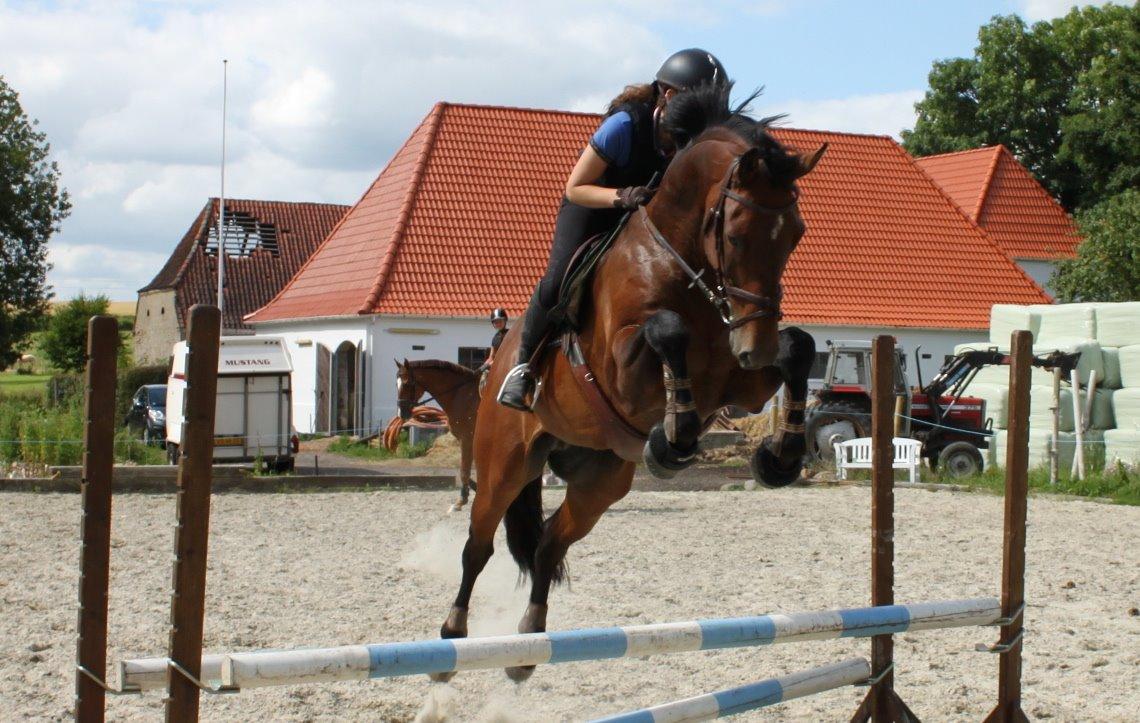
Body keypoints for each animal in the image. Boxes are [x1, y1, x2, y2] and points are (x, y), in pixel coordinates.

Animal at [394, 358, 478, 508]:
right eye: (396, 384)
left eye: (408, 383)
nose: (401, 414)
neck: (461, 395)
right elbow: (466, 469)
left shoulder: (467, 438)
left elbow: (464, 469)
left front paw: (462, 499)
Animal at [437, 84, 829, 679]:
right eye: (736, 235)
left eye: (795, 236)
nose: (753, 345)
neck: (684, 263)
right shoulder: (623, 371)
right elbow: (666, 331)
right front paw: (674, 440)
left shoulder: (737, 380)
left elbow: (798, 348)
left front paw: (779, 458)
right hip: (504, 461)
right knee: (477, 546)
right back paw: (450, 638)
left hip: (600, 482)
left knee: (548, 545)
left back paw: (527, 646)